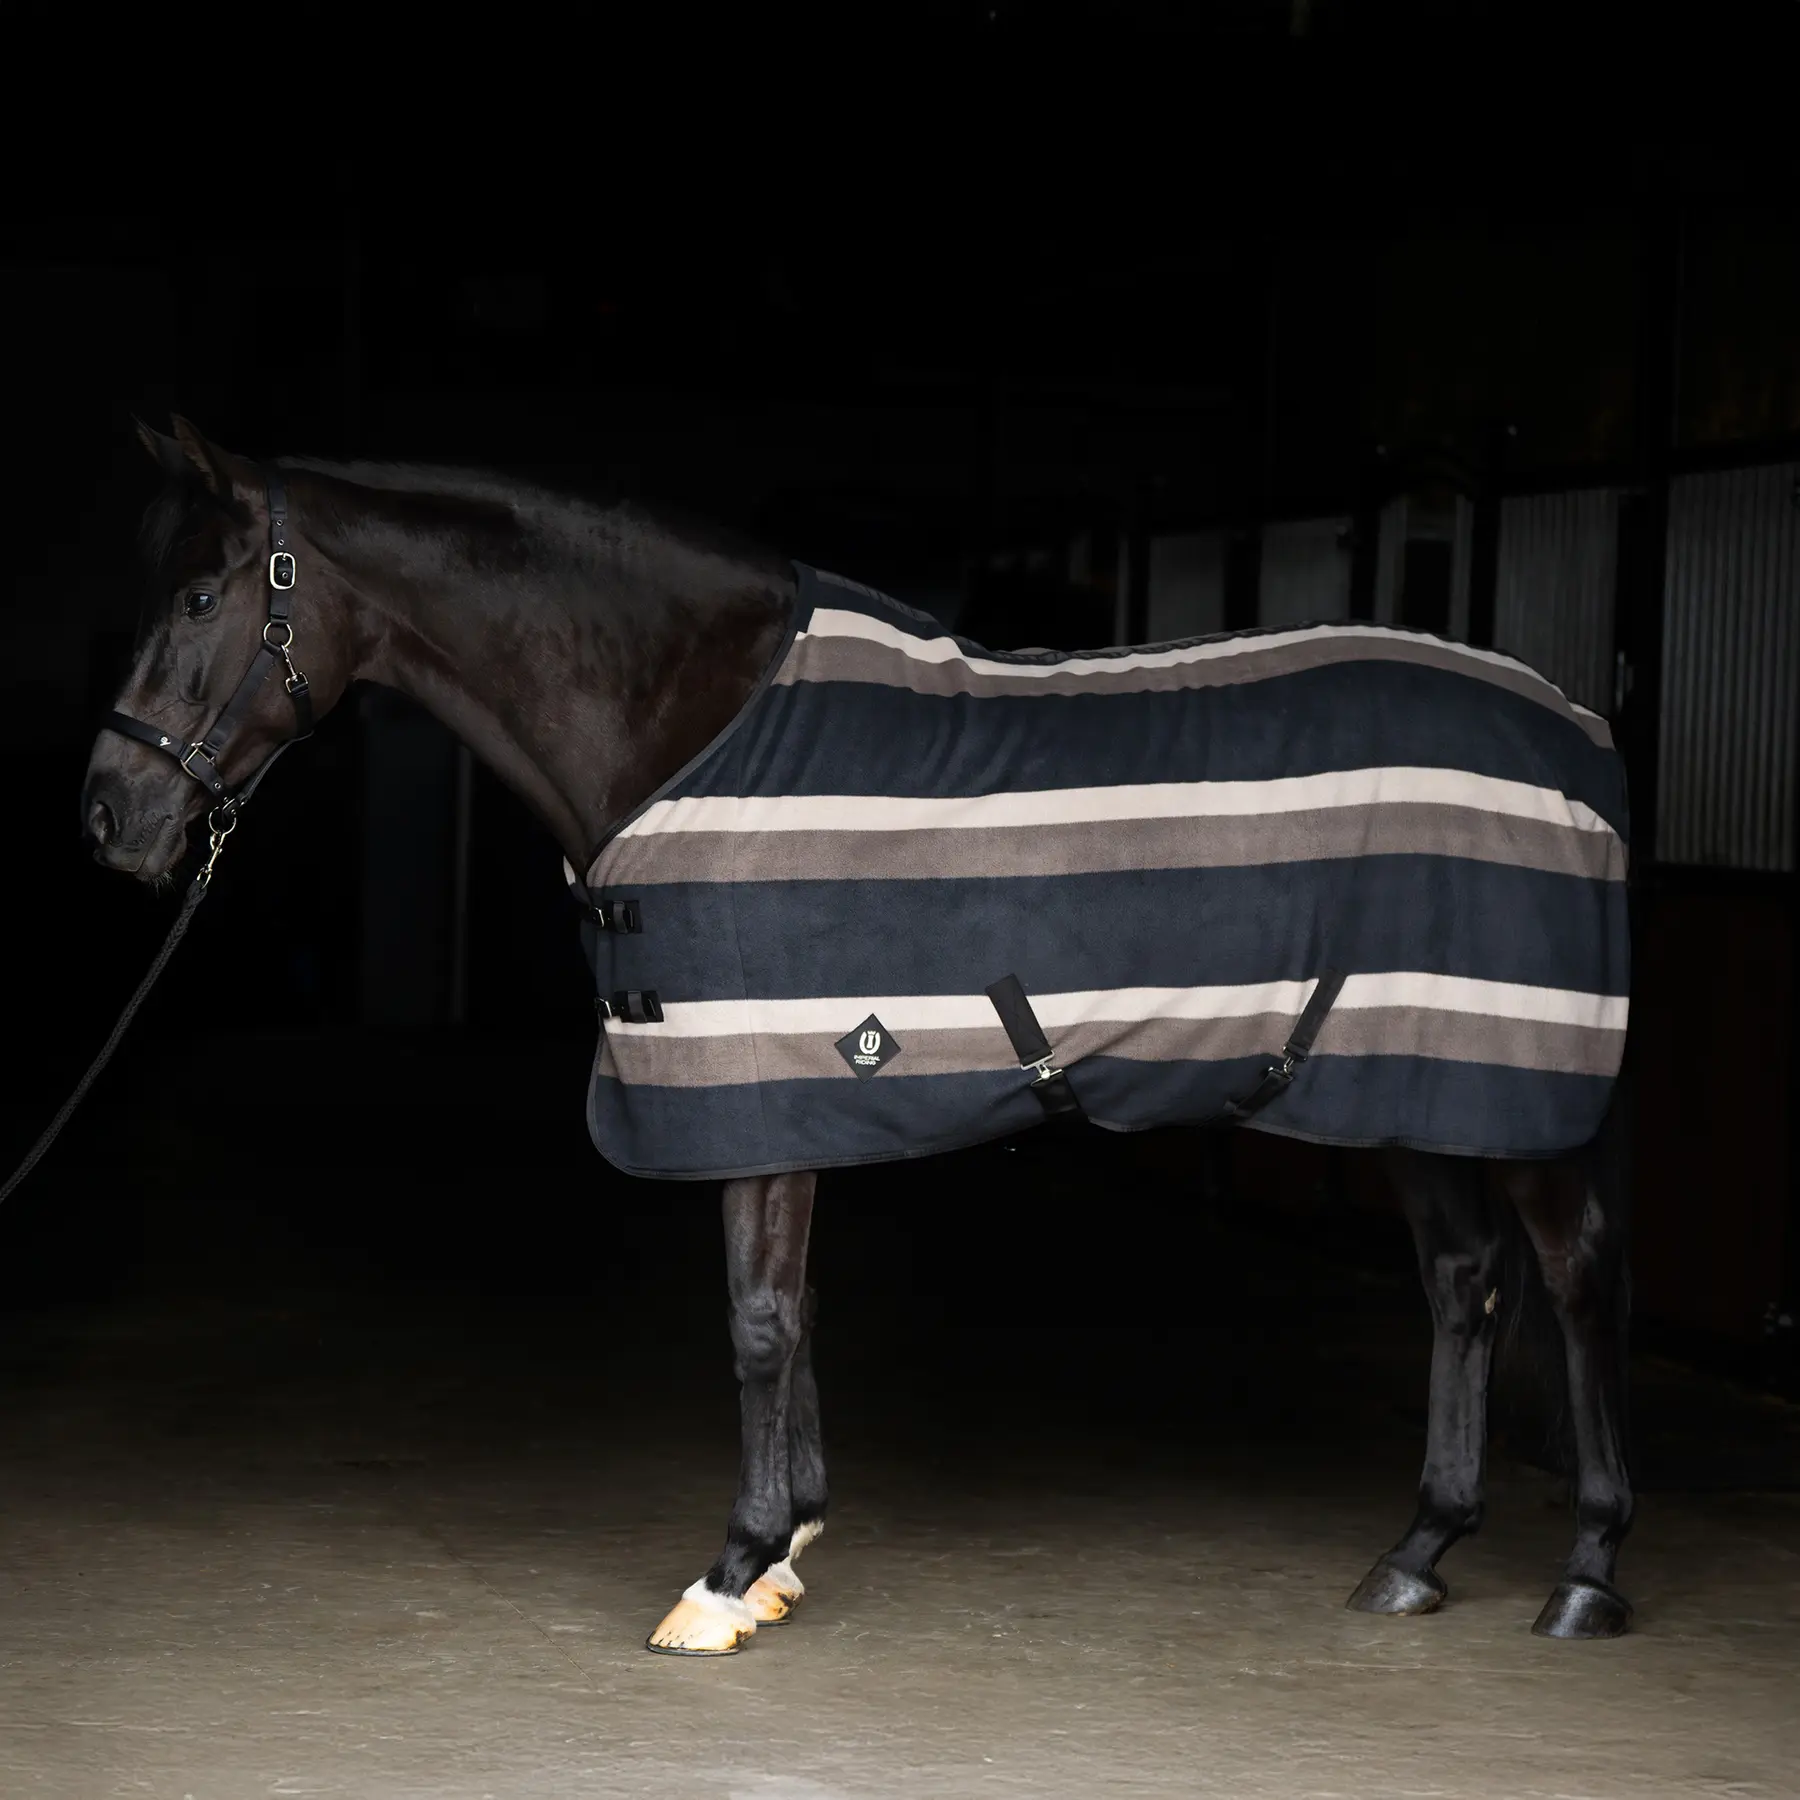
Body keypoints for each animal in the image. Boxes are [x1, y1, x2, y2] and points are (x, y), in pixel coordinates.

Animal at [81, 418, 1636, 1654]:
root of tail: (1579, 730)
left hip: (1510, 1093)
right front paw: (789, 1550)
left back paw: (1589, 1571)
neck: (686, 721)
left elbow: (759, 1320)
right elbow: (795, 1305)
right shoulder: (789, 1094)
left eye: (206, 593)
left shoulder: (763, 1080)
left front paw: (731, 1572)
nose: (108, 815)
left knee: (1566, 1281)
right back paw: (1419, 1551)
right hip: (1412, 1080)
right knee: (1460, 1281)